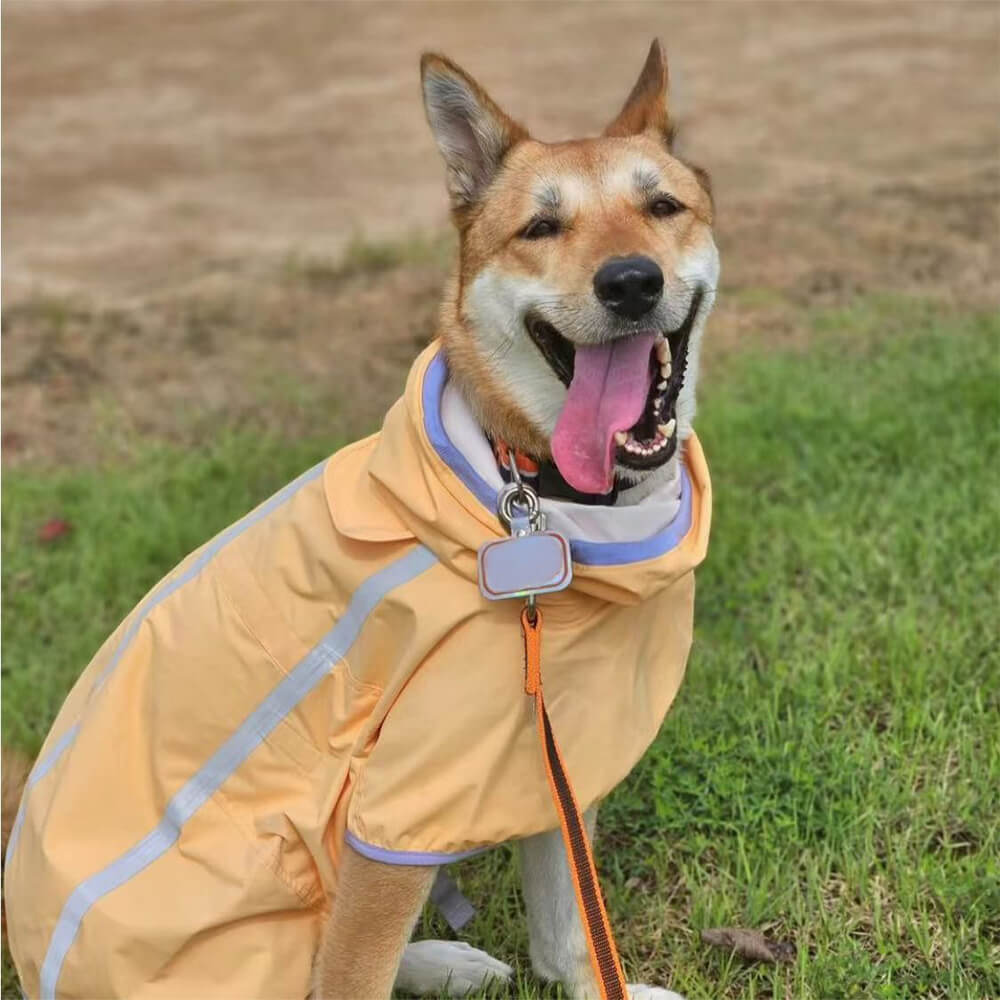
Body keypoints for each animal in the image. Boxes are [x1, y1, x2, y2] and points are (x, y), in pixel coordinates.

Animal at [3, 41, 716, 1000]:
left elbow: (569, 927)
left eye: (662, 206)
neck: (536, 498)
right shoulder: (398, 810)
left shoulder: (551, 746)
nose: (632, 282)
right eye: (540, 228)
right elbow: (355, 968)